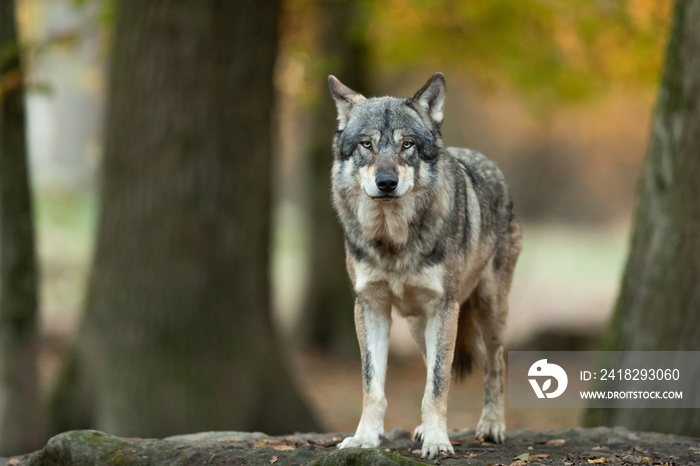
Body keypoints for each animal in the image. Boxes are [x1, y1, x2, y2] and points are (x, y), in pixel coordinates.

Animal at [328, 73, 520, 458]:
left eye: (407, 145)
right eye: (367, 144)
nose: (387, 183)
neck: (393, 242)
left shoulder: (443, 308)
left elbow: (437, 385)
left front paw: (438, 441)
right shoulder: (370, 307)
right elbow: (373, 386)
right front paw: (364, 438)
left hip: (489, 313)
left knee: (496, 363)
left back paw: (492, 426)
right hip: (419, 326)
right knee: (431, 362)